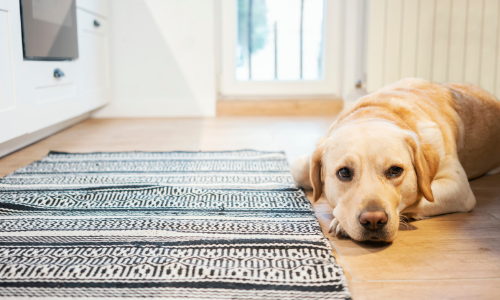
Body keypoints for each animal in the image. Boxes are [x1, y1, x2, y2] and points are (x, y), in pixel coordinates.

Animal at [292, 78, 500, 243]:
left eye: (395, 170)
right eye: (344, 172)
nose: (373, 221)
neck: (377, 110)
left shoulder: (458, 188)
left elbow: (418, 197)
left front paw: (341, 223)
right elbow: (298, 171)